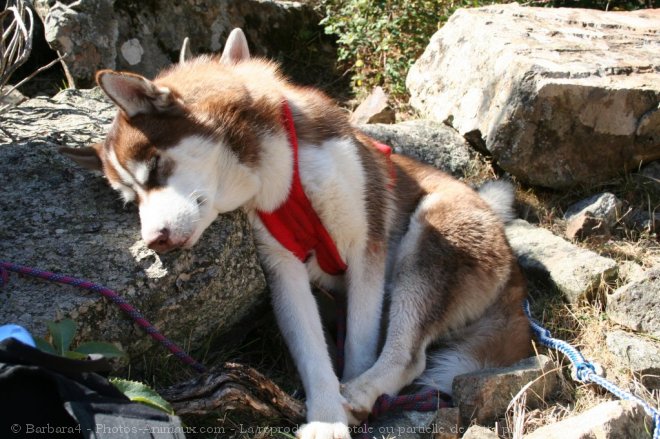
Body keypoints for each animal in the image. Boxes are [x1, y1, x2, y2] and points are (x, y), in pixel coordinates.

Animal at [63, 29, 532, 438]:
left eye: (156, 169)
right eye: (131, 199)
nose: (154, 240)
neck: (279, 172)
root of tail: (515, 279)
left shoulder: (366, 246)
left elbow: (361, 341)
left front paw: (350, 396)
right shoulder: (281, 267)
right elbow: (311, 351)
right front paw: (326, 417)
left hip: (431, 240)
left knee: (409, 355)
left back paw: (364, 390)